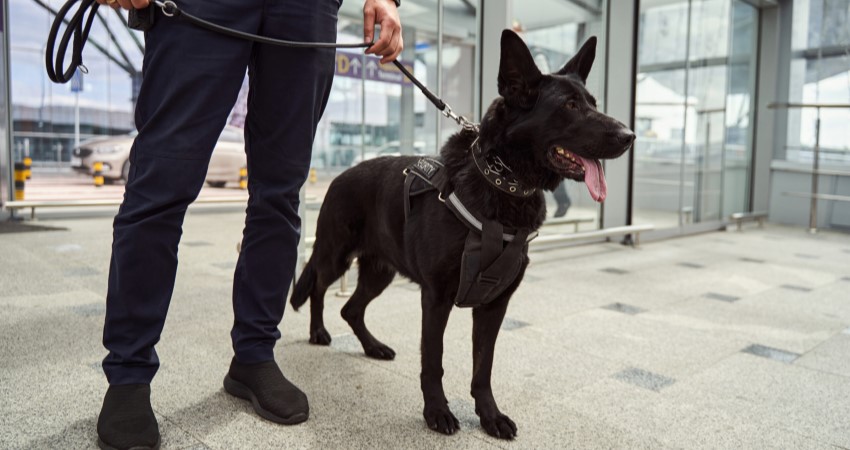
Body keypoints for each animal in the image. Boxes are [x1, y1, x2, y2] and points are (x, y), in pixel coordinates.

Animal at [288, 30, 632, 440]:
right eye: (570, 106)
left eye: (593, 103)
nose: (630, 135)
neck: (501, 183)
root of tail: (340, 176)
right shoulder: (436, 298)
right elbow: (433, 360)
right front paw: (436, 411)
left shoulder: (494, 304)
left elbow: (483, 367)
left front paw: (489, 416)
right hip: (336, 256)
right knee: (318, 285)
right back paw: (318, 331)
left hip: (380, 271)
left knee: (351, 309)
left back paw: (373, 347)